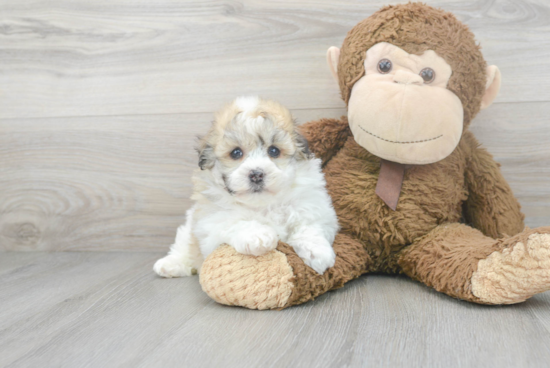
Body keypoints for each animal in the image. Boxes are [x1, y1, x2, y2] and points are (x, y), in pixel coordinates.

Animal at [153, 96, 338, 278]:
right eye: (236, 153)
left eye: (274, 151)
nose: (256, 174)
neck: (262, 205)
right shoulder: (211, 222)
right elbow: (235, 222)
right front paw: (257, 235)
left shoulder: (315, 208)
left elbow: (309, 226)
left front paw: (318, 252)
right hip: (188, 228)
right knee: (184, 247)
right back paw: (169, 265)